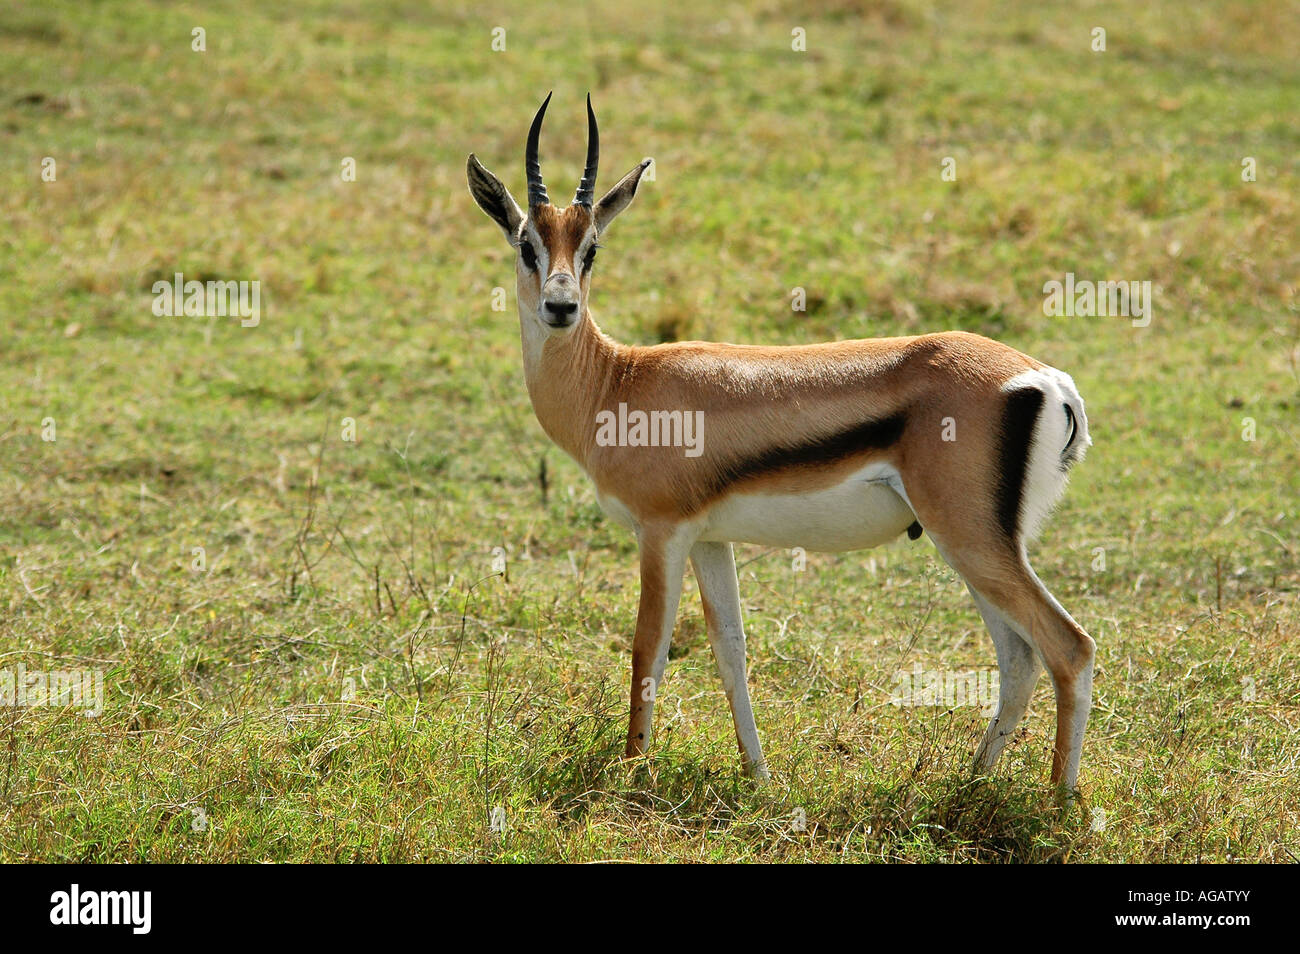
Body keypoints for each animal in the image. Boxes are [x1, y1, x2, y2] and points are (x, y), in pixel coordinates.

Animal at [466, 94, 1096, 792]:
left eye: (592, 248)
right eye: (527, 243)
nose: (560, 307)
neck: (615, 379)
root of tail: (1043, 379)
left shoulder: (661, 532)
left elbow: (647, 648)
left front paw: (632, 775)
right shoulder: (708, 539)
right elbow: (731, 649)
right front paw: (759, 776)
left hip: (970, 540)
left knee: (1068, 646)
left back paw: (1057, 800)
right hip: (974, 546)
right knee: (1019, 657)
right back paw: (969, 783)